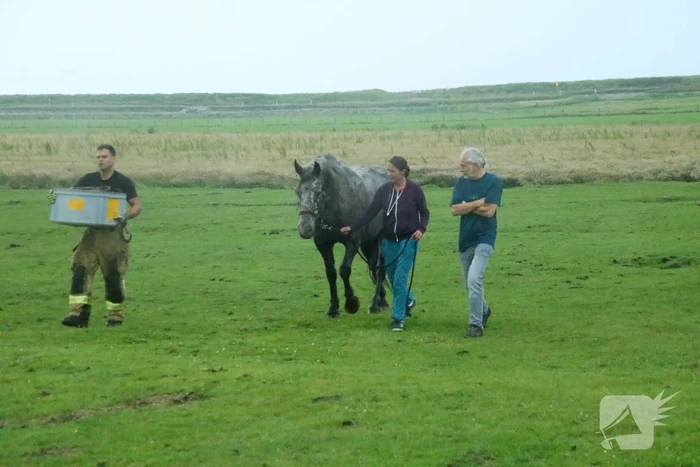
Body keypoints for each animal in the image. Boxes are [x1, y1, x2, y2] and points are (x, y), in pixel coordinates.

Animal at [293, 153, 389, 318]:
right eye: (298, 192)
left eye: (317, 192)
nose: (305, 229)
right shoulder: (323, 245)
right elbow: (331, 273)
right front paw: (333, 309)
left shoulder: (353, 242)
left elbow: (344, 270)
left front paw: (351, 303)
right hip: (369, 243)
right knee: (373, 267)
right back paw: (381, 301)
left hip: (382, 240)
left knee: (380, 268)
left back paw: (374, 305)